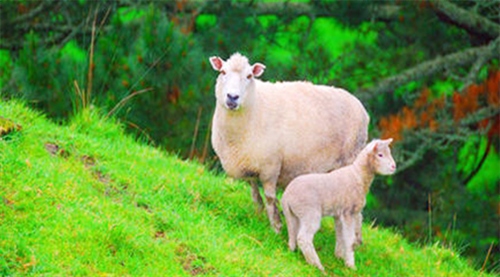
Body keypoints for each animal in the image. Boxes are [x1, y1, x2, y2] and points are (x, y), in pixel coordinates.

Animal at [209, 52, 370, 232]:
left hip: (350, 159)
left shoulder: (270, 167)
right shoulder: (247, 162)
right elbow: (254, 193)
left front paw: (276, 226)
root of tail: (361, 108)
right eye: (222, 72)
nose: (232, 97)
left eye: (249, 76)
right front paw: (258, 214)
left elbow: (270, 197)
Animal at [282, 138, 394, 270]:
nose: (394, 166)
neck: (358, 176)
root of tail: (286, 195)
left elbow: (340, 236)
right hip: (310, 213)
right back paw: (317, 265)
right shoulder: (348, 212)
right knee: (304, 238)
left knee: (293, 232)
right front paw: (351, 265)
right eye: (380, 155)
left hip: (295, 215)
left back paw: (296, 252)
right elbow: (349, 239)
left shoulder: (339, 214)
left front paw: (339, 256)